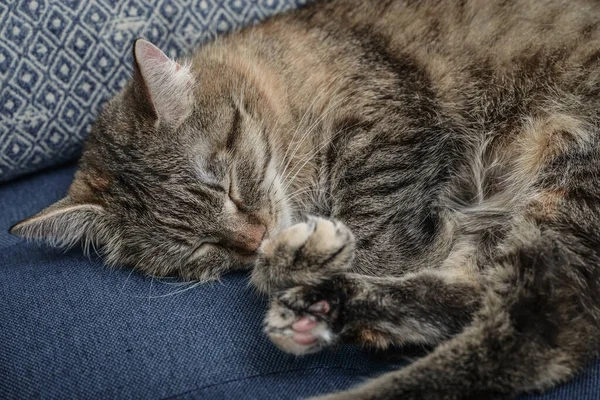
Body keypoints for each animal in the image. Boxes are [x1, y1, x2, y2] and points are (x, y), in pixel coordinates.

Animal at [10, 0, 600, 398]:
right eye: (198, 248)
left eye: (225, 184)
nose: (254, 239)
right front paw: (293, 260)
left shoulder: (390, 134)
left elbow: (383, 241)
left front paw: (299, 257)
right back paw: (324, 306)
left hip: (571, 171)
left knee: (545, 330)